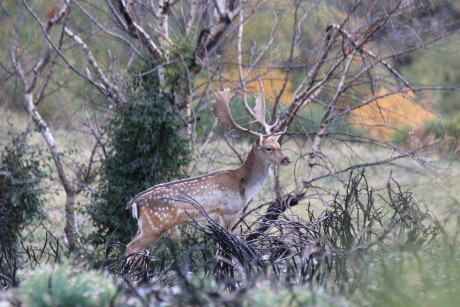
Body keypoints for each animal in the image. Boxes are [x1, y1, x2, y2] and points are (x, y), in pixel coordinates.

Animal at [125, 88, 292, 256]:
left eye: (279, 145)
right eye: (268, 148)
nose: (287, 159)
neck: (244, 186)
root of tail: (133, 202)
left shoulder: (218, 218)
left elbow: (220, 247)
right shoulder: (228, 212)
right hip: (156, 224)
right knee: (131, 246)